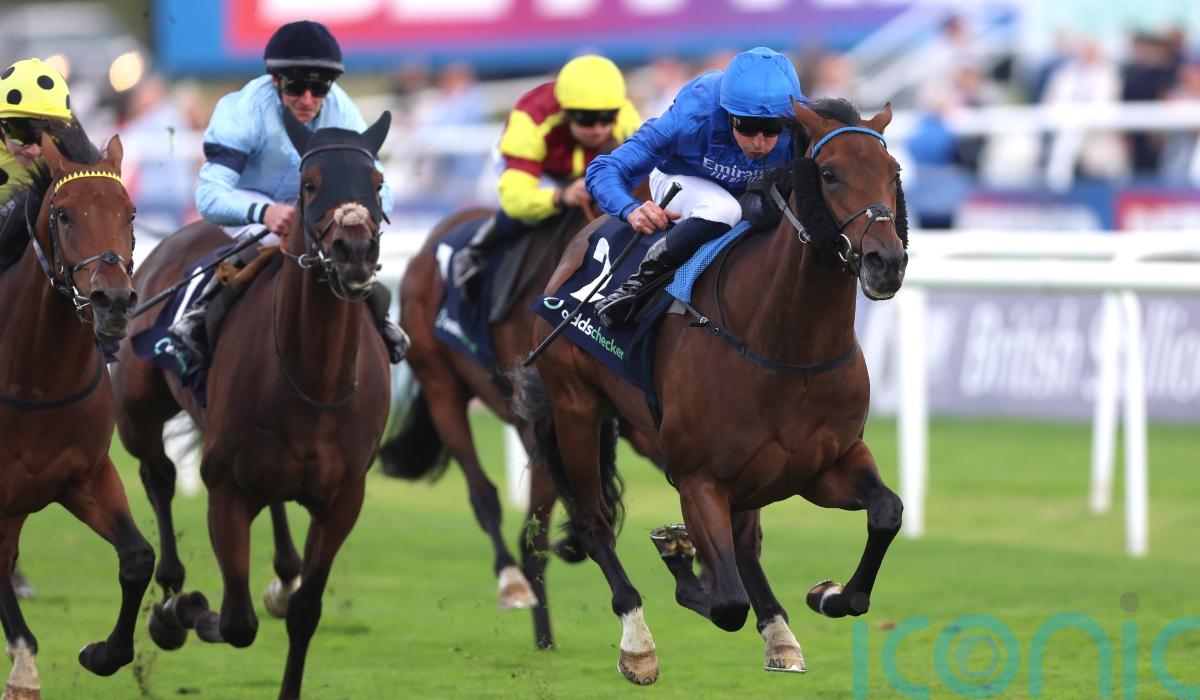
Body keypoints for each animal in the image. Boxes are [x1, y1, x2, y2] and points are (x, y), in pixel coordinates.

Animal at [0, 122, 153, 697]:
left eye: (130, 211)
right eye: (64, 214)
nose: (114, 301)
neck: (35, 379)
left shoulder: (84, 474)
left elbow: (138, 558)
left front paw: (103, 653)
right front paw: (24, 669)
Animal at [112, 112, 392, 699]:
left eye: (377, 183)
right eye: (310, 184)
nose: (354, 252)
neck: (316, 380)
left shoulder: (344, 498)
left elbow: (306, 612)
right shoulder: (227, 487)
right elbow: (237, 621)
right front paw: (182, 611)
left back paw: (283, 572)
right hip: (137, 414)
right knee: (158, 475)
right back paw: (170, 590)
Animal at [513, 98, 909, 684]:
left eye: (893, 172)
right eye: (830, 174)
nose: (887, 261)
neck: (788, 346)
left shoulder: (824, 465)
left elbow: (887, 513)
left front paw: (830, 594)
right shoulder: (698, 477)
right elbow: (724, 603)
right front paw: (677, 558)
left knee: (744, 544)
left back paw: (779, 633)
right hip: (576, 409)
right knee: (594, 522)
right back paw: (638, 640)